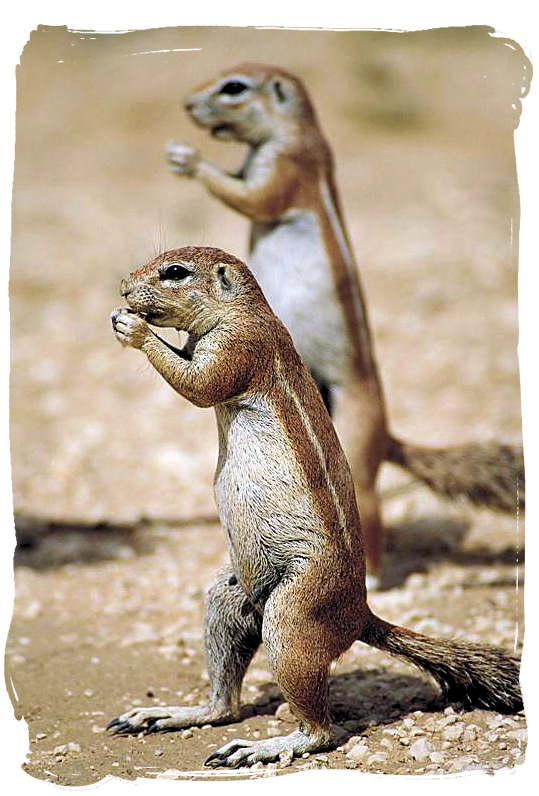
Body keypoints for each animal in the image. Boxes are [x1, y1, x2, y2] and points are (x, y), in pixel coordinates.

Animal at [106, 247, 524, 772]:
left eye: (175, 272)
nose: (123, 287)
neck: (242, 310)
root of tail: (360, 616)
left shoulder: (237, 348)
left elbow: (197, 383)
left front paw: (132, 327)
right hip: (231, 596)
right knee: (225, 705)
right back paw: (169, 715)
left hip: (292, 615)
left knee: (323, 731)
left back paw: (264, 746)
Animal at [167, 62, 524, 588]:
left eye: (234, 87)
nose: (187, 105)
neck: (299, 130)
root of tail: (387, 434)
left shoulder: (288, 166)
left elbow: (251, 197)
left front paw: (189, 160)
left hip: (355, 443)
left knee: (369, 514)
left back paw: (374, 578)